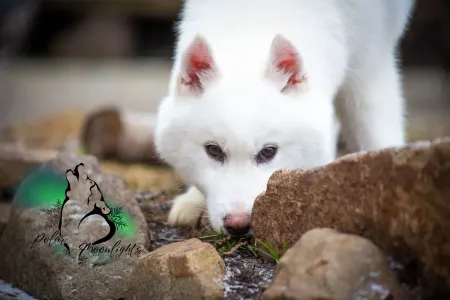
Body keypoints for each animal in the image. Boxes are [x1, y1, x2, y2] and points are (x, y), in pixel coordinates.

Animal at [154, 0, 414, 234]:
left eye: (268, 152)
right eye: (213, 150)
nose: (238, 226)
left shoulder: (370, 68)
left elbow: (376, 134)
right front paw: (193, 200)